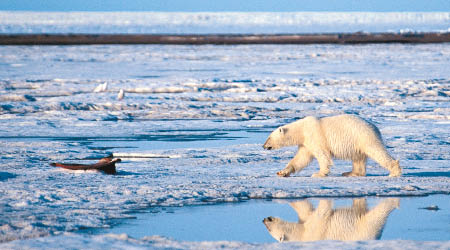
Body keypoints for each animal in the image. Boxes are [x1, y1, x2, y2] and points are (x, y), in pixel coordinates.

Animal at [262, 114, 402, 177]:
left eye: (268, 137)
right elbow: (301, 159)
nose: (263, 146)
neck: (301, 130)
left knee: (377, 151)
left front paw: (318, 174)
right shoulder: (305, 143)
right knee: (358, 158)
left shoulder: (315, 137)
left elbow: (322, 155)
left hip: (364, 137)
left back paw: (394, 172)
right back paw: (350, 173)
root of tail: (375, 127)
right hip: (357, 142)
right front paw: (282, 172)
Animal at [262, 197, 400, 242]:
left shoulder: (314, 230)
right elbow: (308, 211)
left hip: (364, 228)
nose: (264, 219)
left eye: (269, 229)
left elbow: (319, 213)